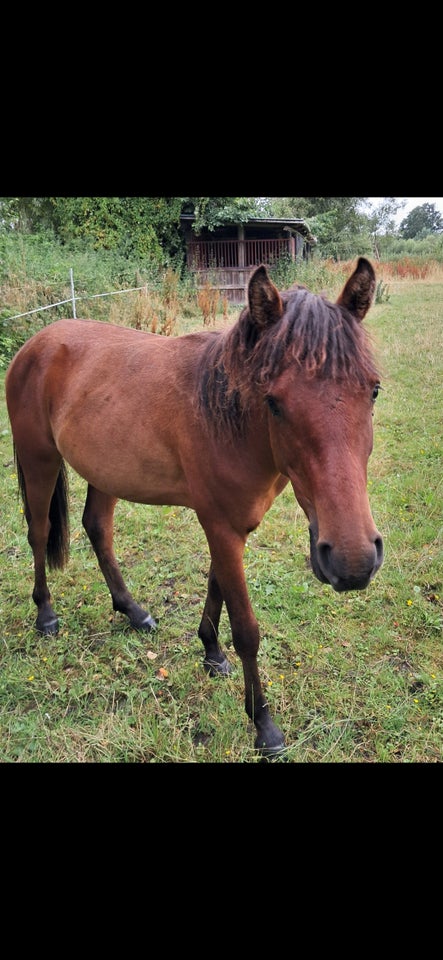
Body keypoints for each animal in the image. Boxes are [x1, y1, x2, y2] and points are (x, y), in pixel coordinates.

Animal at [5, 258, 384, 760]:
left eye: (373, 391)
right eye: (274, 402)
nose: (352, 561)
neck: (226, 416)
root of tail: (37, 342)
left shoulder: (231, 524)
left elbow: (215, 585)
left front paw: (211, 653)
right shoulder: (220, 525)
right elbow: (246, 628)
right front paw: (264, 726)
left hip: (105, 472)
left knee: (97, 528)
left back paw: (133, 611)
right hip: (39, 459)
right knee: (39, 530)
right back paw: (46, 615)